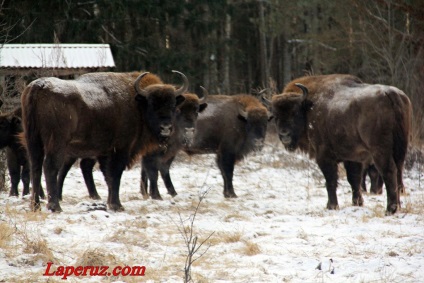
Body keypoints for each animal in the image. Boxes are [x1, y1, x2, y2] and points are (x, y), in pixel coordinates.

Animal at [21, 71, 187, 213]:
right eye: (152, 104)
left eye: (173, 105)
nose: (166, 127)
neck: (137, 103)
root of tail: (38, 86)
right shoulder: (121, 149)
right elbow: (115, 175)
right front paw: (117, 205)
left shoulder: (104, 153)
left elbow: (108, 176)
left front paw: (110, 203)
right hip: (56, 143)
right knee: (50, 167)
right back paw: (55, 207)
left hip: (33, 141)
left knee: (35, 167)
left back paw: (35, 206)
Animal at [142, 93, 274, 200]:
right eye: (250, 123)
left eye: (265, 123)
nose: (258, 141)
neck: (240, 119)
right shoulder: (228, 152)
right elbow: (228, 172)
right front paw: (232, 194)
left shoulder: (220, 153)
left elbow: (223, 173)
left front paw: (226, 194)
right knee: (153, 166)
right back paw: (157, 195)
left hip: (171, 150)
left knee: (160, 167)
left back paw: (167, 193)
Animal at [270, 75, 412, 215]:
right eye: (276, 116)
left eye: (295, 113)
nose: (284, 134)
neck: (308, 108)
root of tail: (391, 94)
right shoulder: (353, 158)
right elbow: (354, 179)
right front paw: (357, 203)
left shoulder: (324, 157)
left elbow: (331, 181)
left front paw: (331, 206)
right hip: (400, 148)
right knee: (398, 172)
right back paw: (398, 206)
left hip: (380, 150)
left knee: (389, 171)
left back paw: (390, 209)